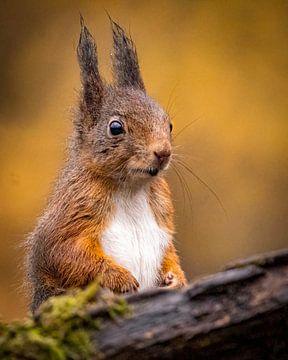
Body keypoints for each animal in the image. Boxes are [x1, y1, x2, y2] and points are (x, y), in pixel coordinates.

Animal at [26, 17, 187, 312]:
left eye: (169, 124)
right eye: (115, 128)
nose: (163, 152)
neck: (130, 187)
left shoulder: (163, 214)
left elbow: (169, 253)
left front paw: (176, 278)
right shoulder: (72, 210)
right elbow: (62, 252)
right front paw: (118, 277)